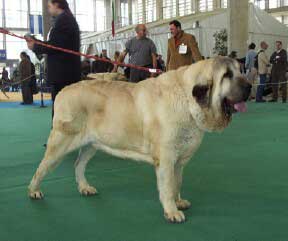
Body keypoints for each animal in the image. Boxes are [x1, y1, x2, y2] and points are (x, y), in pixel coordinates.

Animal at [28, 57, 251, 223]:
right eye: (227, 75)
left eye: (240, 71)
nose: (249, 87)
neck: (188, 100)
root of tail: (63, 91)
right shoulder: (166, 159)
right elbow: (167, 186)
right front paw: (172, 211)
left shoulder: (179, 160)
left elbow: (177, 182)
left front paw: (178, 201)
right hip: (60, 143)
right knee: (41, 167)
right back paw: (34, 191)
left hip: (92, 144)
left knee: (78, 165)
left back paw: (84, 187)